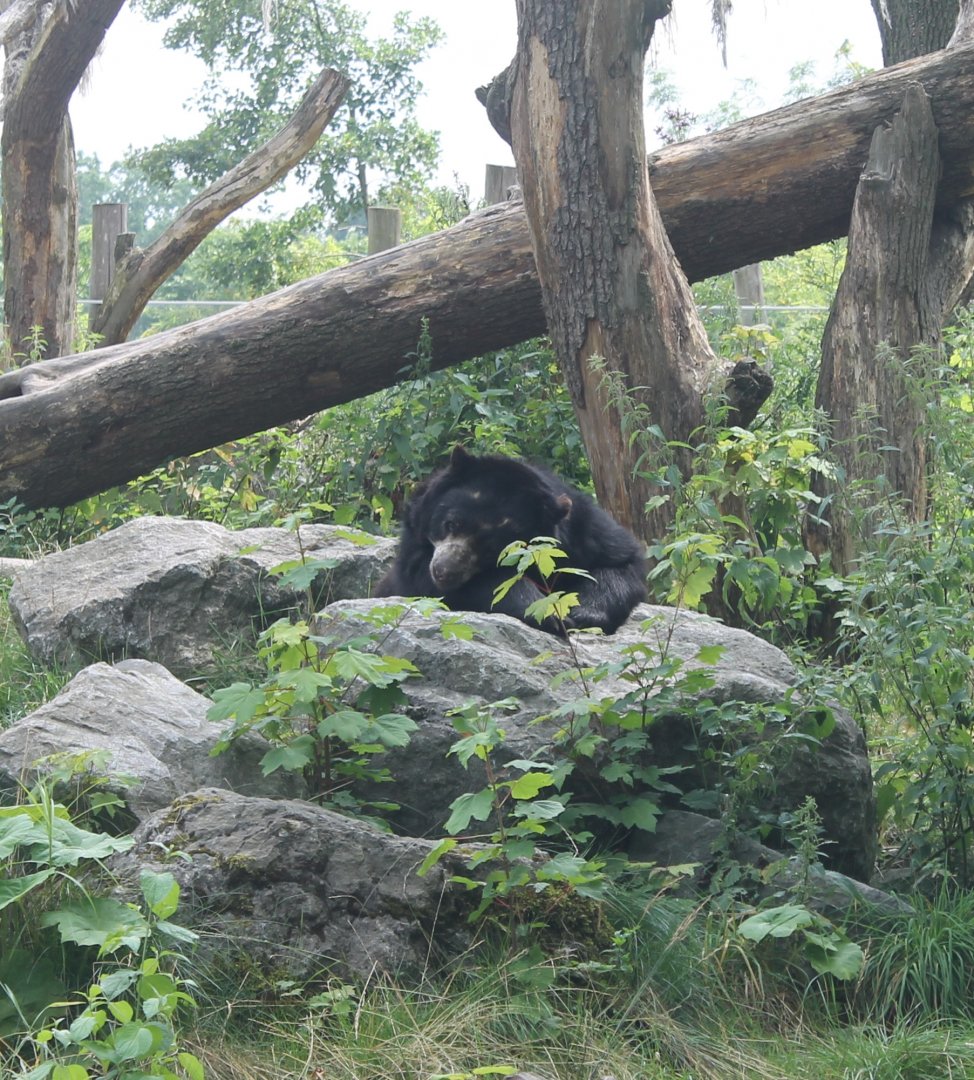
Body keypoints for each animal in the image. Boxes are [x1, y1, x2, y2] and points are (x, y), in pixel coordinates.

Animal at [374, 445, 647, 634]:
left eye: (492, 550)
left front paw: (581, 614)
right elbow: (487, 586)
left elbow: (619, 563)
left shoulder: (584, 533)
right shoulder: (416, 559)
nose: (444, 572)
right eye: (450, 523)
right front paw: (549, 614)